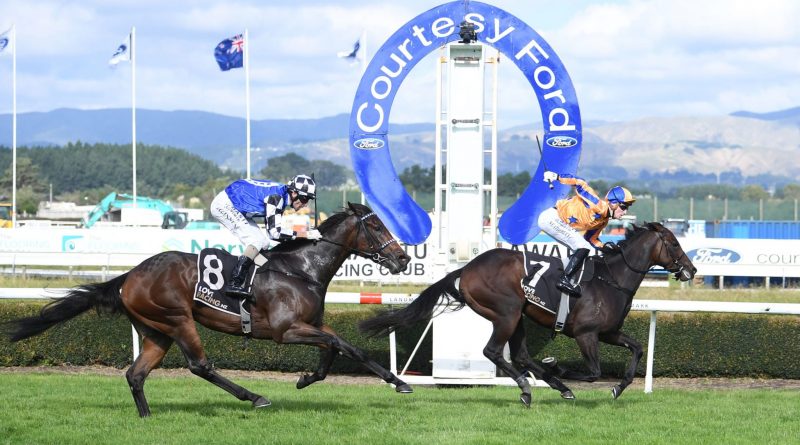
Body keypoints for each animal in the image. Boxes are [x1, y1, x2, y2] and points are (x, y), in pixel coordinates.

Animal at [4, 202, 413, 417]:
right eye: (377, 226)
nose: (404, 258)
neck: (300, 270)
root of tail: (128, 276)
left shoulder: (310, 325)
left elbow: (338, 349)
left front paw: (307, 378)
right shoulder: (286, 330)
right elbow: (344, 345)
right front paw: (398, 382)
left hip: (156, 331)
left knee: (136, 374)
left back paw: (146, 417)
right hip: (177, 319)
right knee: (200, 365)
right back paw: (254, 397)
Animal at [360, 222, 696, 407]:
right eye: (674, 243)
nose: (691, 269)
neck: (611, 279)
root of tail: (466, 269)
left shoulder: (609, 332)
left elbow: (637, 349)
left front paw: (617, 388)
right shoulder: (586, 334)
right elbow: (593, 372)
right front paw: (559, 368)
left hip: (519, 315)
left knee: (519, 354)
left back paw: (552, 386)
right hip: (506, 313)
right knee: (494, 351)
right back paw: (529, 387)